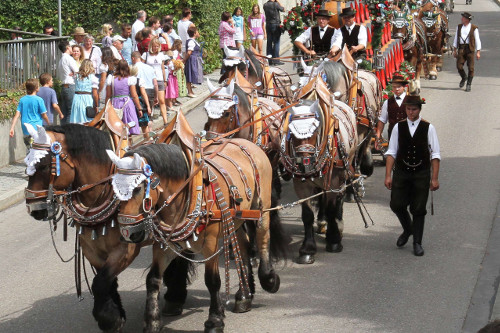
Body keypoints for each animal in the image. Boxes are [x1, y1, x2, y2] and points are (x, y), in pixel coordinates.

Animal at [21, 123, 190, 330]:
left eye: (44, 165)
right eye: (27, 164)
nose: (33, 209)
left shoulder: (125, 250)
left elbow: (99, 282)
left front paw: (109, 319)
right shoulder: (92, 250)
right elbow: (107, 282)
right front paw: (115, 314)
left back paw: (175, 299)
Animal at [108, 113, 290, 330]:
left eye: (137, 188)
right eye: (114, 189)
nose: (128, 233)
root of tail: (246, 143)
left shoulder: (210, 244)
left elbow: (212, 281)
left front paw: (215, 320)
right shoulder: (165, 246)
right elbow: (153, 279)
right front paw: (152, 321)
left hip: (261, 209)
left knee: (262, 239)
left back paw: (268, 279)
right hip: (234, 219)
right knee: (243, 248)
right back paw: (244, 296)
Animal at [280, 74, 358, 264]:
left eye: (315, 130)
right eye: (291, 133)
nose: (305, 162)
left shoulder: (333, 181)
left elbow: (331, 207)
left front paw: (334, 240)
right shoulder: (301, 185)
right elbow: (307, 215)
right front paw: (307, 250)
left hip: (343, 171)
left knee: (339, 198)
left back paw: (337, 223)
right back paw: (322, 222)